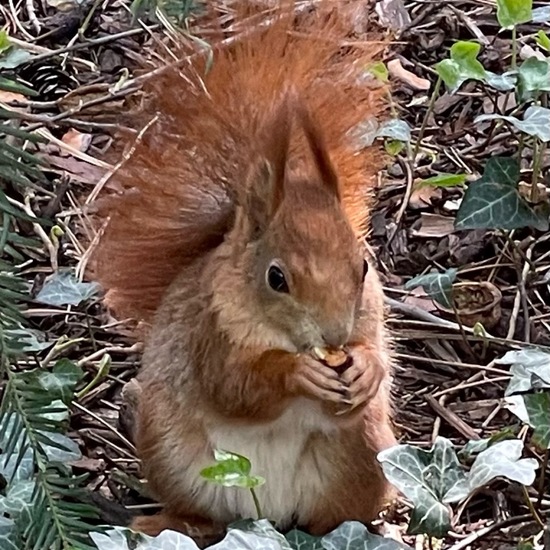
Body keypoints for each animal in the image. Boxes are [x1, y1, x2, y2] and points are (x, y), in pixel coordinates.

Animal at [92, 0, 398, 544]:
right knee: (204, 517)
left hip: (366, 456)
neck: (284, 336)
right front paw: (298, 373)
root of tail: (269, 514)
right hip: (172, 455)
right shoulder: (208, 334)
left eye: (363, 266)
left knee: (338, 516)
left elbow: (374, 354)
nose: (334, 337)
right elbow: (235, 387)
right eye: (276, 278)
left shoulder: (370, 318)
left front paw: (365, 369)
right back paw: (165, 523)